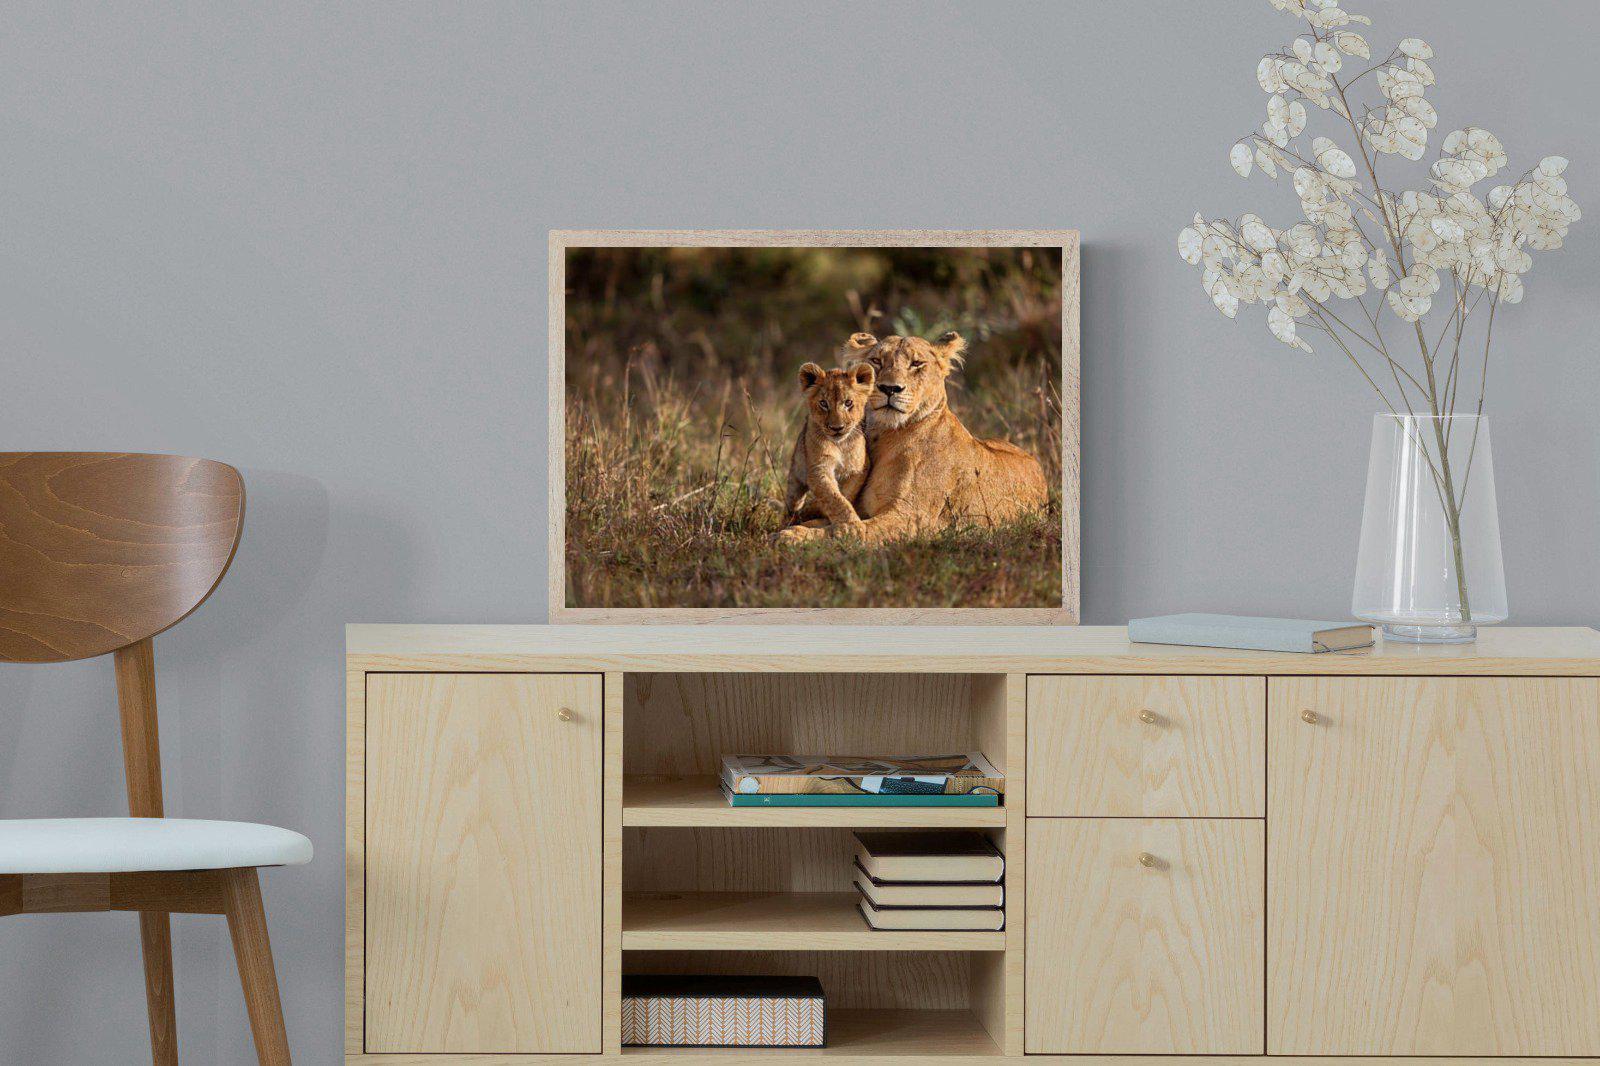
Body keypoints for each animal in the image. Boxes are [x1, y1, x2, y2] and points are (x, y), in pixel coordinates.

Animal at [781, 360, 876, 528]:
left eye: (848, 403)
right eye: (823, 403)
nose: (837, 428)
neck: (840, 445)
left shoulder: (859, 468)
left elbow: (845, 494)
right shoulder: (818, 469)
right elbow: (834, 498)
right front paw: (852, 525)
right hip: (795, 476)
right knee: (792, 503)